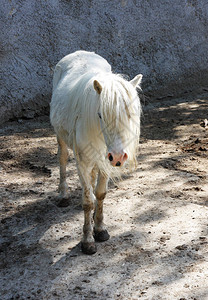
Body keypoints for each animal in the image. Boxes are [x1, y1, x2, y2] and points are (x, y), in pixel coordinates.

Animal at [49, 50, 142, 254]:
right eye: (100, 114)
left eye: (130, 114)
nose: (118, 156)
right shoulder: (83, 162)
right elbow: (88, 202)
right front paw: (87, 240)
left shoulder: (105, 161)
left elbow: (99, 194)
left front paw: (99, 229)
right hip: (61, 138)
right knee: (62, 159)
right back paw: (63, 195)